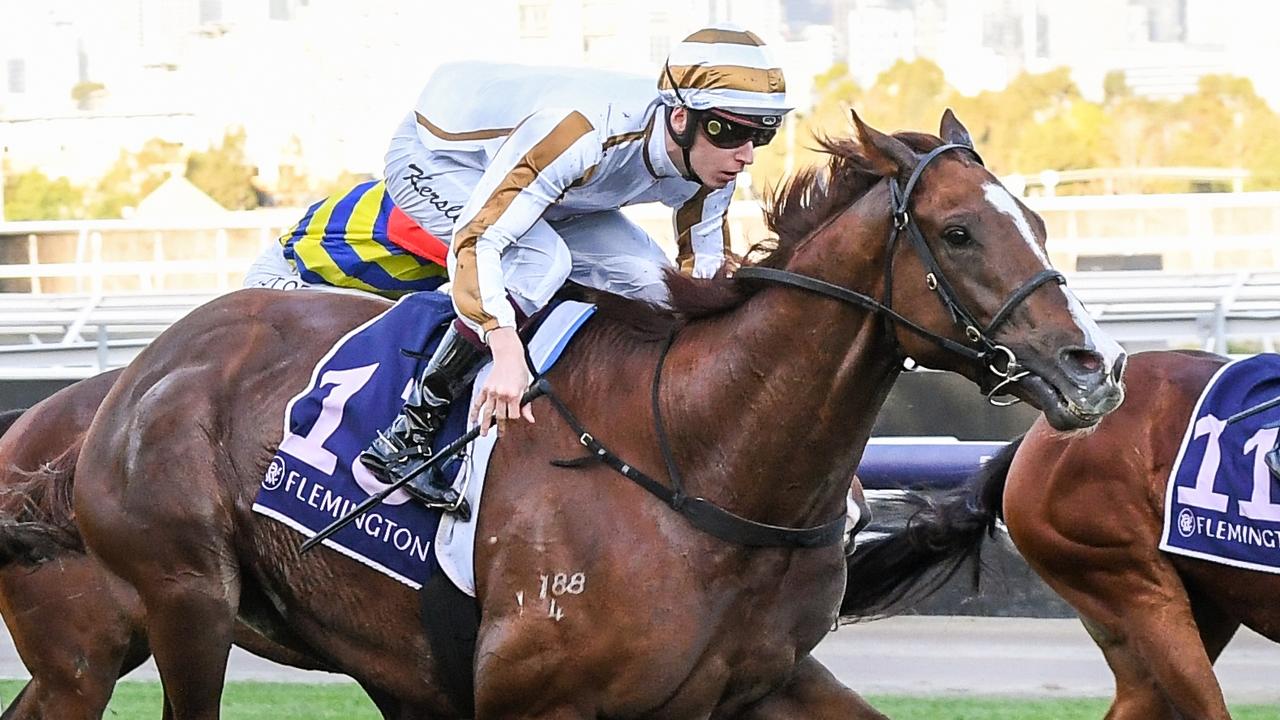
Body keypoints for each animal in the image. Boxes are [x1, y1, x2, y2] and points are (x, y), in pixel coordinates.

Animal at [70, 109, 1121, 712]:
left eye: (1037, 218)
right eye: (960, 231)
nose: (1096, 368)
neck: (704, 460)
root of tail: (148, 367)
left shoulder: (765, 681)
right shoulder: (534, 701)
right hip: (186, 601)